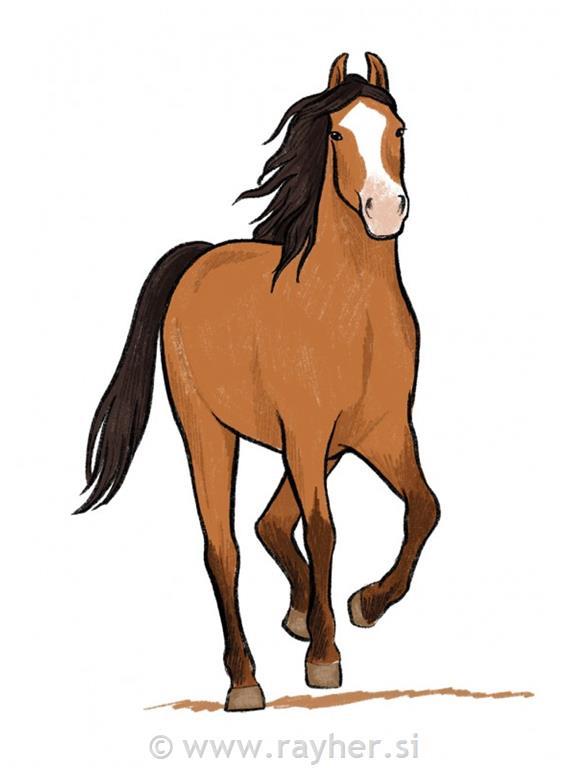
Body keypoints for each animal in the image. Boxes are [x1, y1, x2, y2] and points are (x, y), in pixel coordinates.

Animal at [74, 52, 441, 712]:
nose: (385, 209)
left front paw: (365, 605)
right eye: (337, 134)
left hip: (326, 448)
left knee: (268, 522)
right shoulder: (307, 433)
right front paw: (324, 657)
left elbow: (424, 507)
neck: (352, 314)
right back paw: (245, 681)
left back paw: (297, 615)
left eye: (399, 131)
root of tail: (197, 260)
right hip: (210, 431)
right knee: (224, 549)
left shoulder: (383, 432)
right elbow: (324, 530)